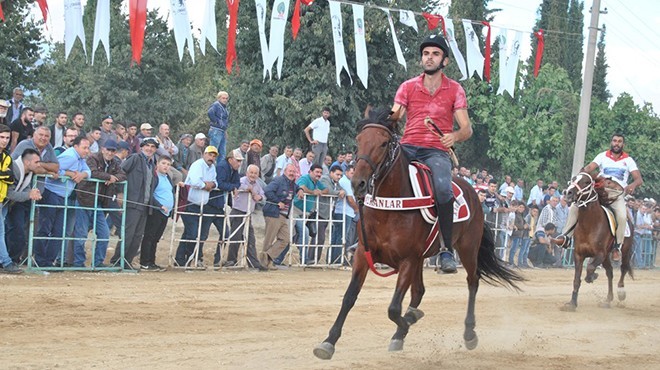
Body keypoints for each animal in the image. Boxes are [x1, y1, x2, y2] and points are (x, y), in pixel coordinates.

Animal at [312, 109, 524, 358]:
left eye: (384, 143)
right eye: (359, 140)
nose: (358, 183)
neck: (390, 208)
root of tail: (474, 192)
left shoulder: (408, 259)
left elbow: (394, 309)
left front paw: (402, 327)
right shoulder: (364, 255)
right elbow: (349, 297)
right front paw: (329, 341)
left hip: (467, 248)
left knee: (473, 281)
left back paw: (469, 332)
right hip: (424, 258)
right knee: (419, 292)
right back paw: (411, 318)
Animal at [560, 172, 632, 310]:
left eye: (587, 182)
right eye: (573, 179)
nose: (568, 192)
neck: (589, 224)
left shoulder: (600, 253)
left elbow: (590, 267)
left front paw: (592, 276)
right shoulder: (579, 254)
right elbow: (577, 279)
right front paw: (572, 303)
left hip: (625, 251)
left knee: (623, 268)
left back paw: (621, 292)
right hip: (606, 258)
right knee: (610, 272)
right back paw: (608, 300)